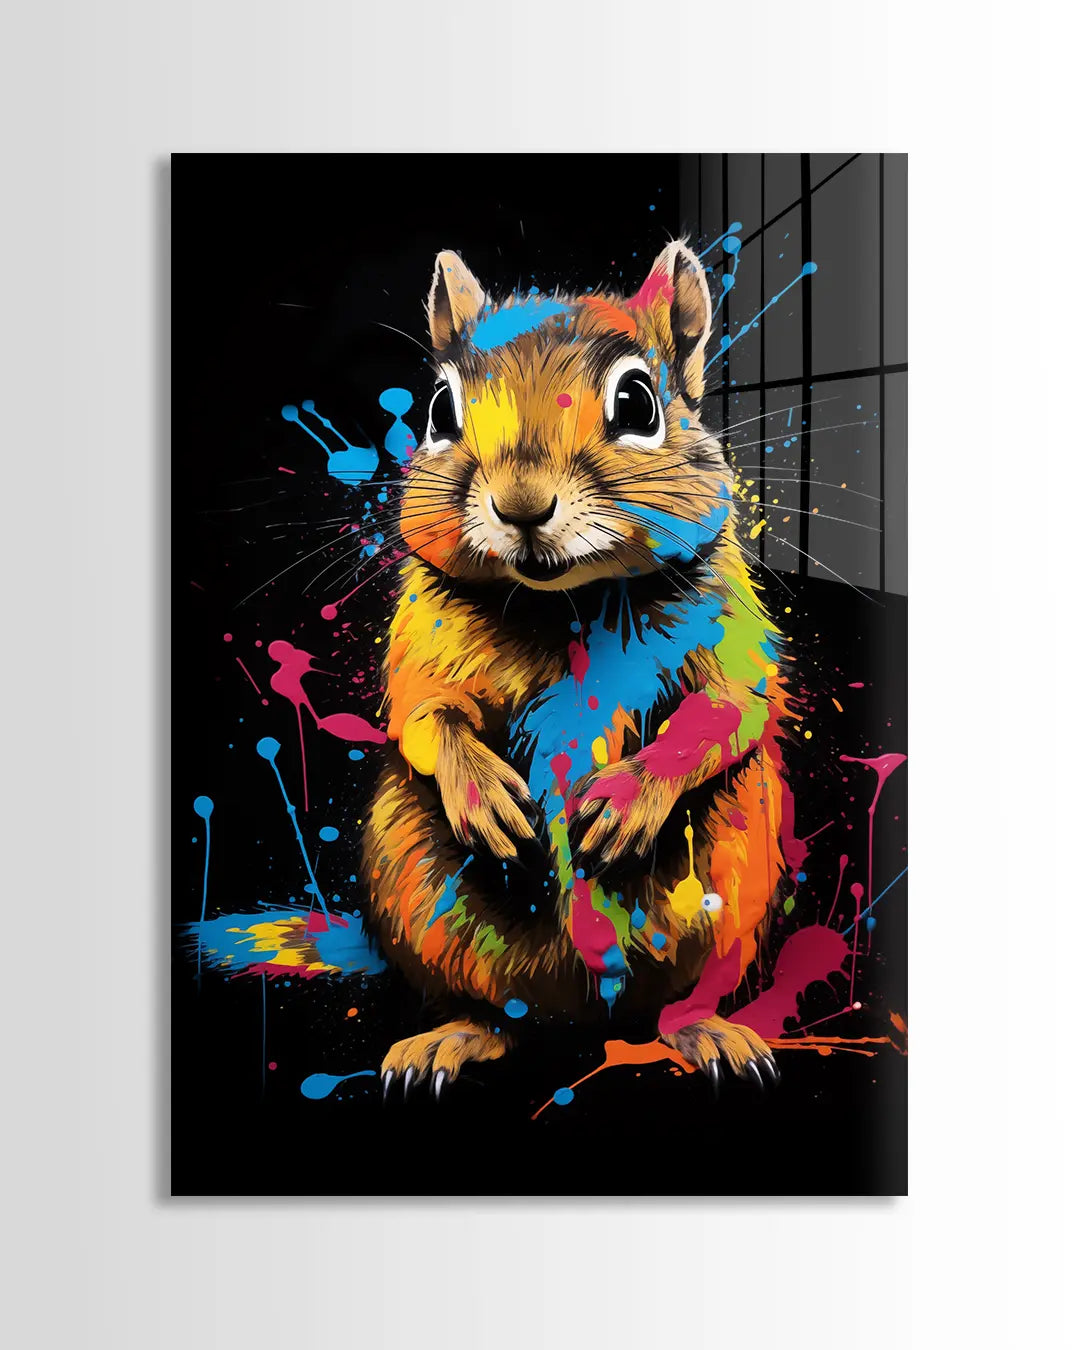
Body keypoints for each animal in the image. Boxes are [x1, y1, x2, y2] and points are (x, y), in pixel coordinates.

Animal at [361, 241, 795, 1101]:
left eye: (638, 402)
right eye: (438, 411)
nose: (522, 506)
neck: (561, 603)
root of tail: (580, 1016)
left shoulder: (730, 621)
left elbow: (731, 707)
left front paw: (624, 801)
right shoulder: (420, 638)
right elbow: (425, 714)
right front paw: (484, 793)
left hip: (737, 880)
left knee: (679, 1002)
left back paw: (709, 1032)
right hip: (411, 889)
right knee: (491, 1010)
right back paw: (450, 1038)